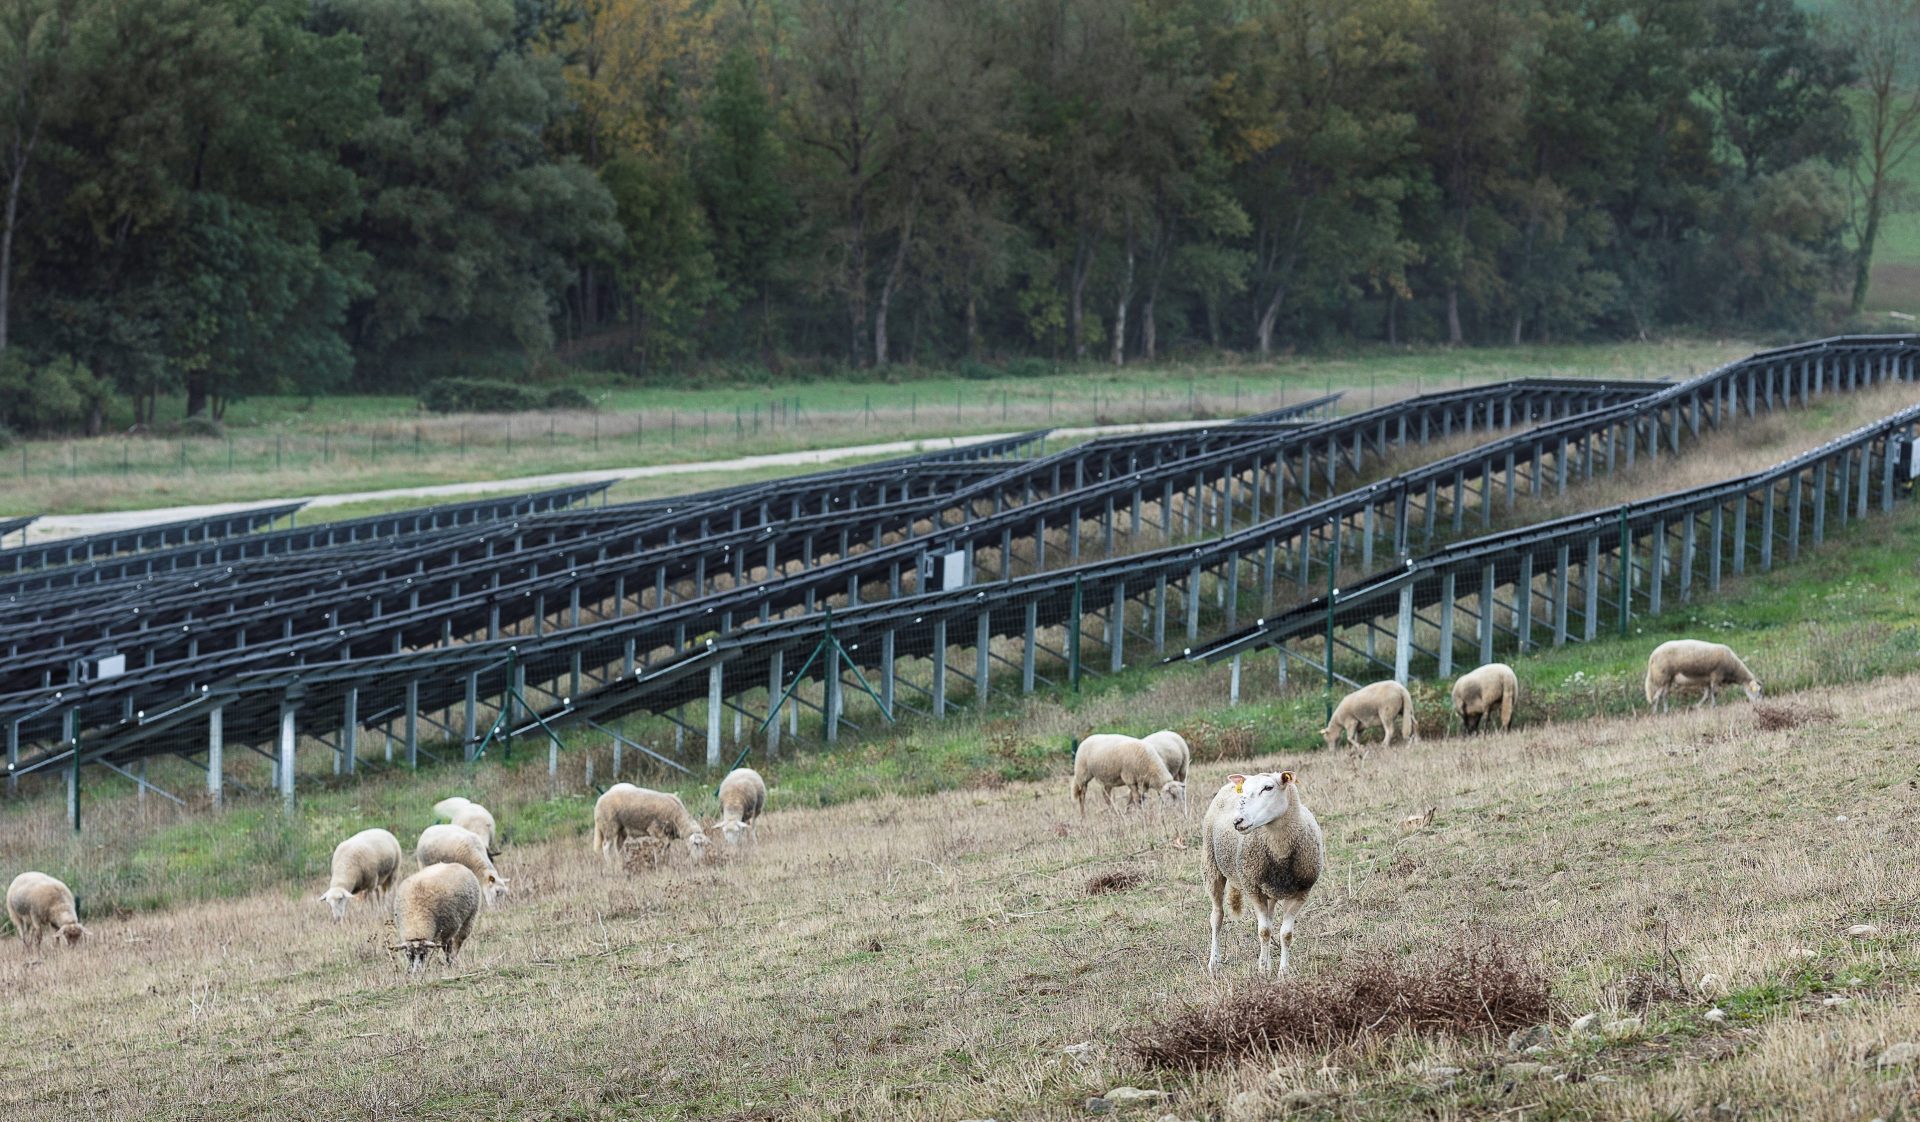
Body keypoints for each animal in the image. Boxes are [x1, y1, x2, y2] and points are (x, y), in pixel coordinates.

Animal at [1198, 772, 1320, 972]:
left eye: (1268, 788)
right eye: (1244, 791)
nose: (1237, 821)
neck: (1279, 850)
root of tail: (1227, 785)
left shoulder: (1301, 893)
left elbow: (1286, 934)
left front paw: (1282, 972)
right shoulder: (1253, 889)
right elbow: (1264, 931)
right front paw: (1262, 970)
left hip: (1269, 890)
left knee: (1269, 918)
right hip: (1211, 866)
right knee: (1217, 916)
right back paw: (1214, 962)